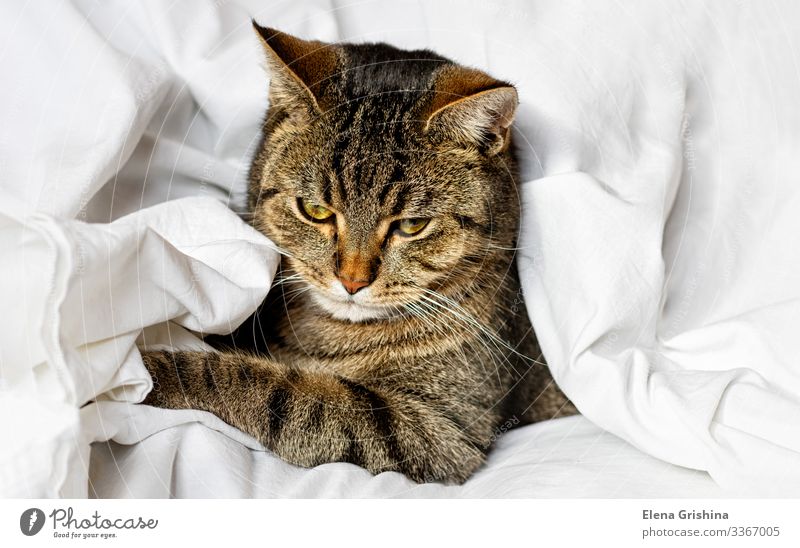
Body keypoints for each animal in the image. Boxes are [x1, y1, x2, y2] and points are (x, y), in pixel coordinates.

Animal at [139, 21, 576, 484]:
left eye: (411, 225)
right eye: (315, 210)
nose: (351, 280)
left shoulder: (440, 425)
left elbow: (274, 390)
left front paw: (153, 373)